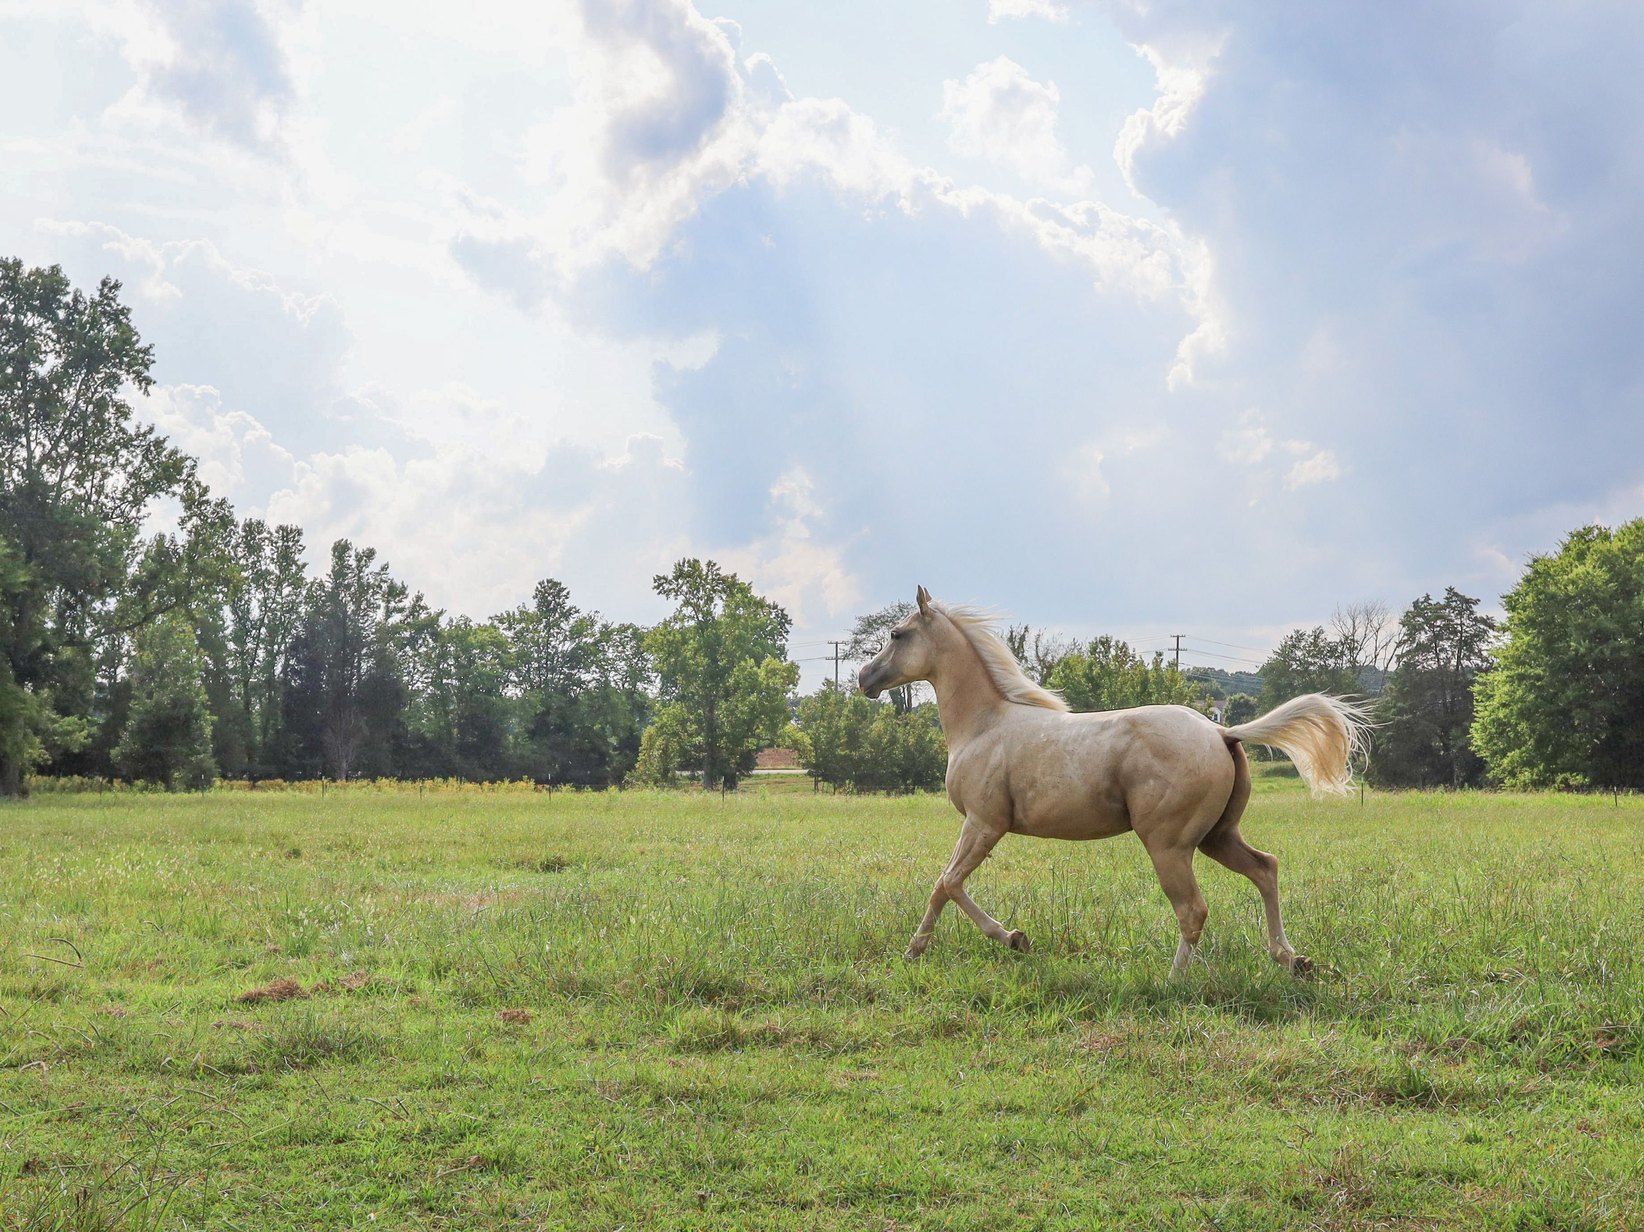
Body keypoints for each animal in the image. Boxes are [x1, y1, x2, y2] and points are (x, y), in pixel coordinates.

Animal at [858, 587, 1371, 978]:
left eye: (897, 634)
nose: (864, 677)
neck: (984, 724)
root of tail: (1220, 731)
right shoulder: (982, 827)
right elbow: (945, 885)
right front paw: (927, 949)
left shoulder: (984, 824)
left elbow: (947, 883)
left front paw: (1003, 939)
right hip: (1217, 837)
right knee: (1265, 868)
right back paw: (1292, 959)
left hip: (1169, 845)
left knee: (1193, 909)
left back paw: (1173, 980)